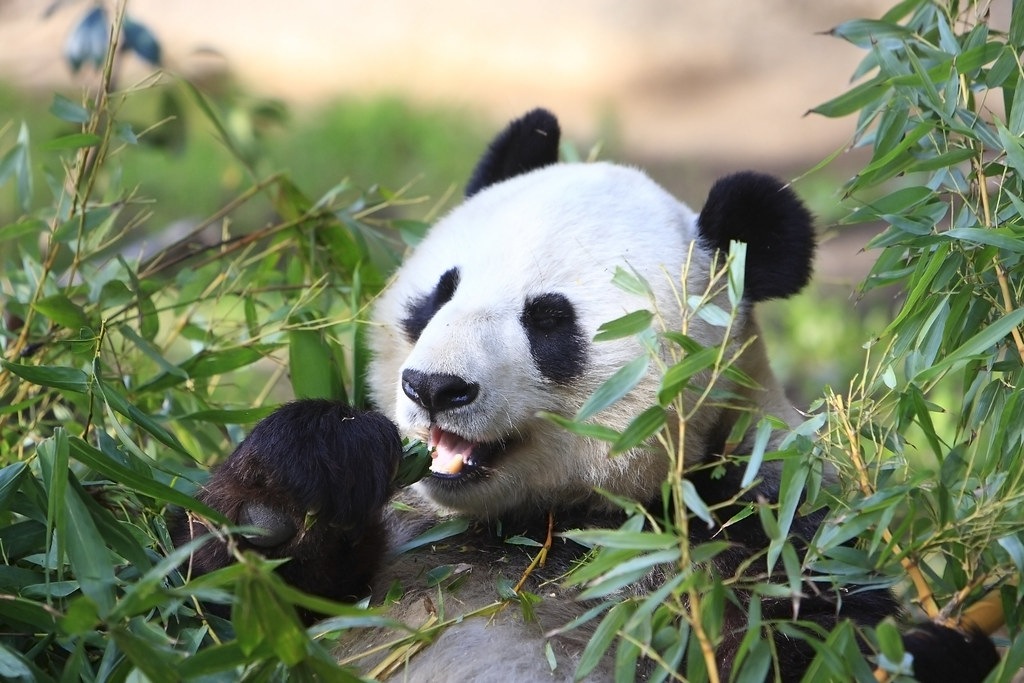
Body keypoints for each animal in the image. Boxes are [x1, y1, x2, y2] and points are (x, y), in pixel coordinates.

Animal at [173, 109, 999, 682]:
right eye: (439, 293)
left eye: (547, 319)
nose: (434, 386)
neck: (537, 525)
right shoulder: (401, 536)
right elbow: (215, 608)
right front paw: (302, 477)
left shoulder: (776, 531)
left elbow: (830, 632)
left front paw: (938, 647)